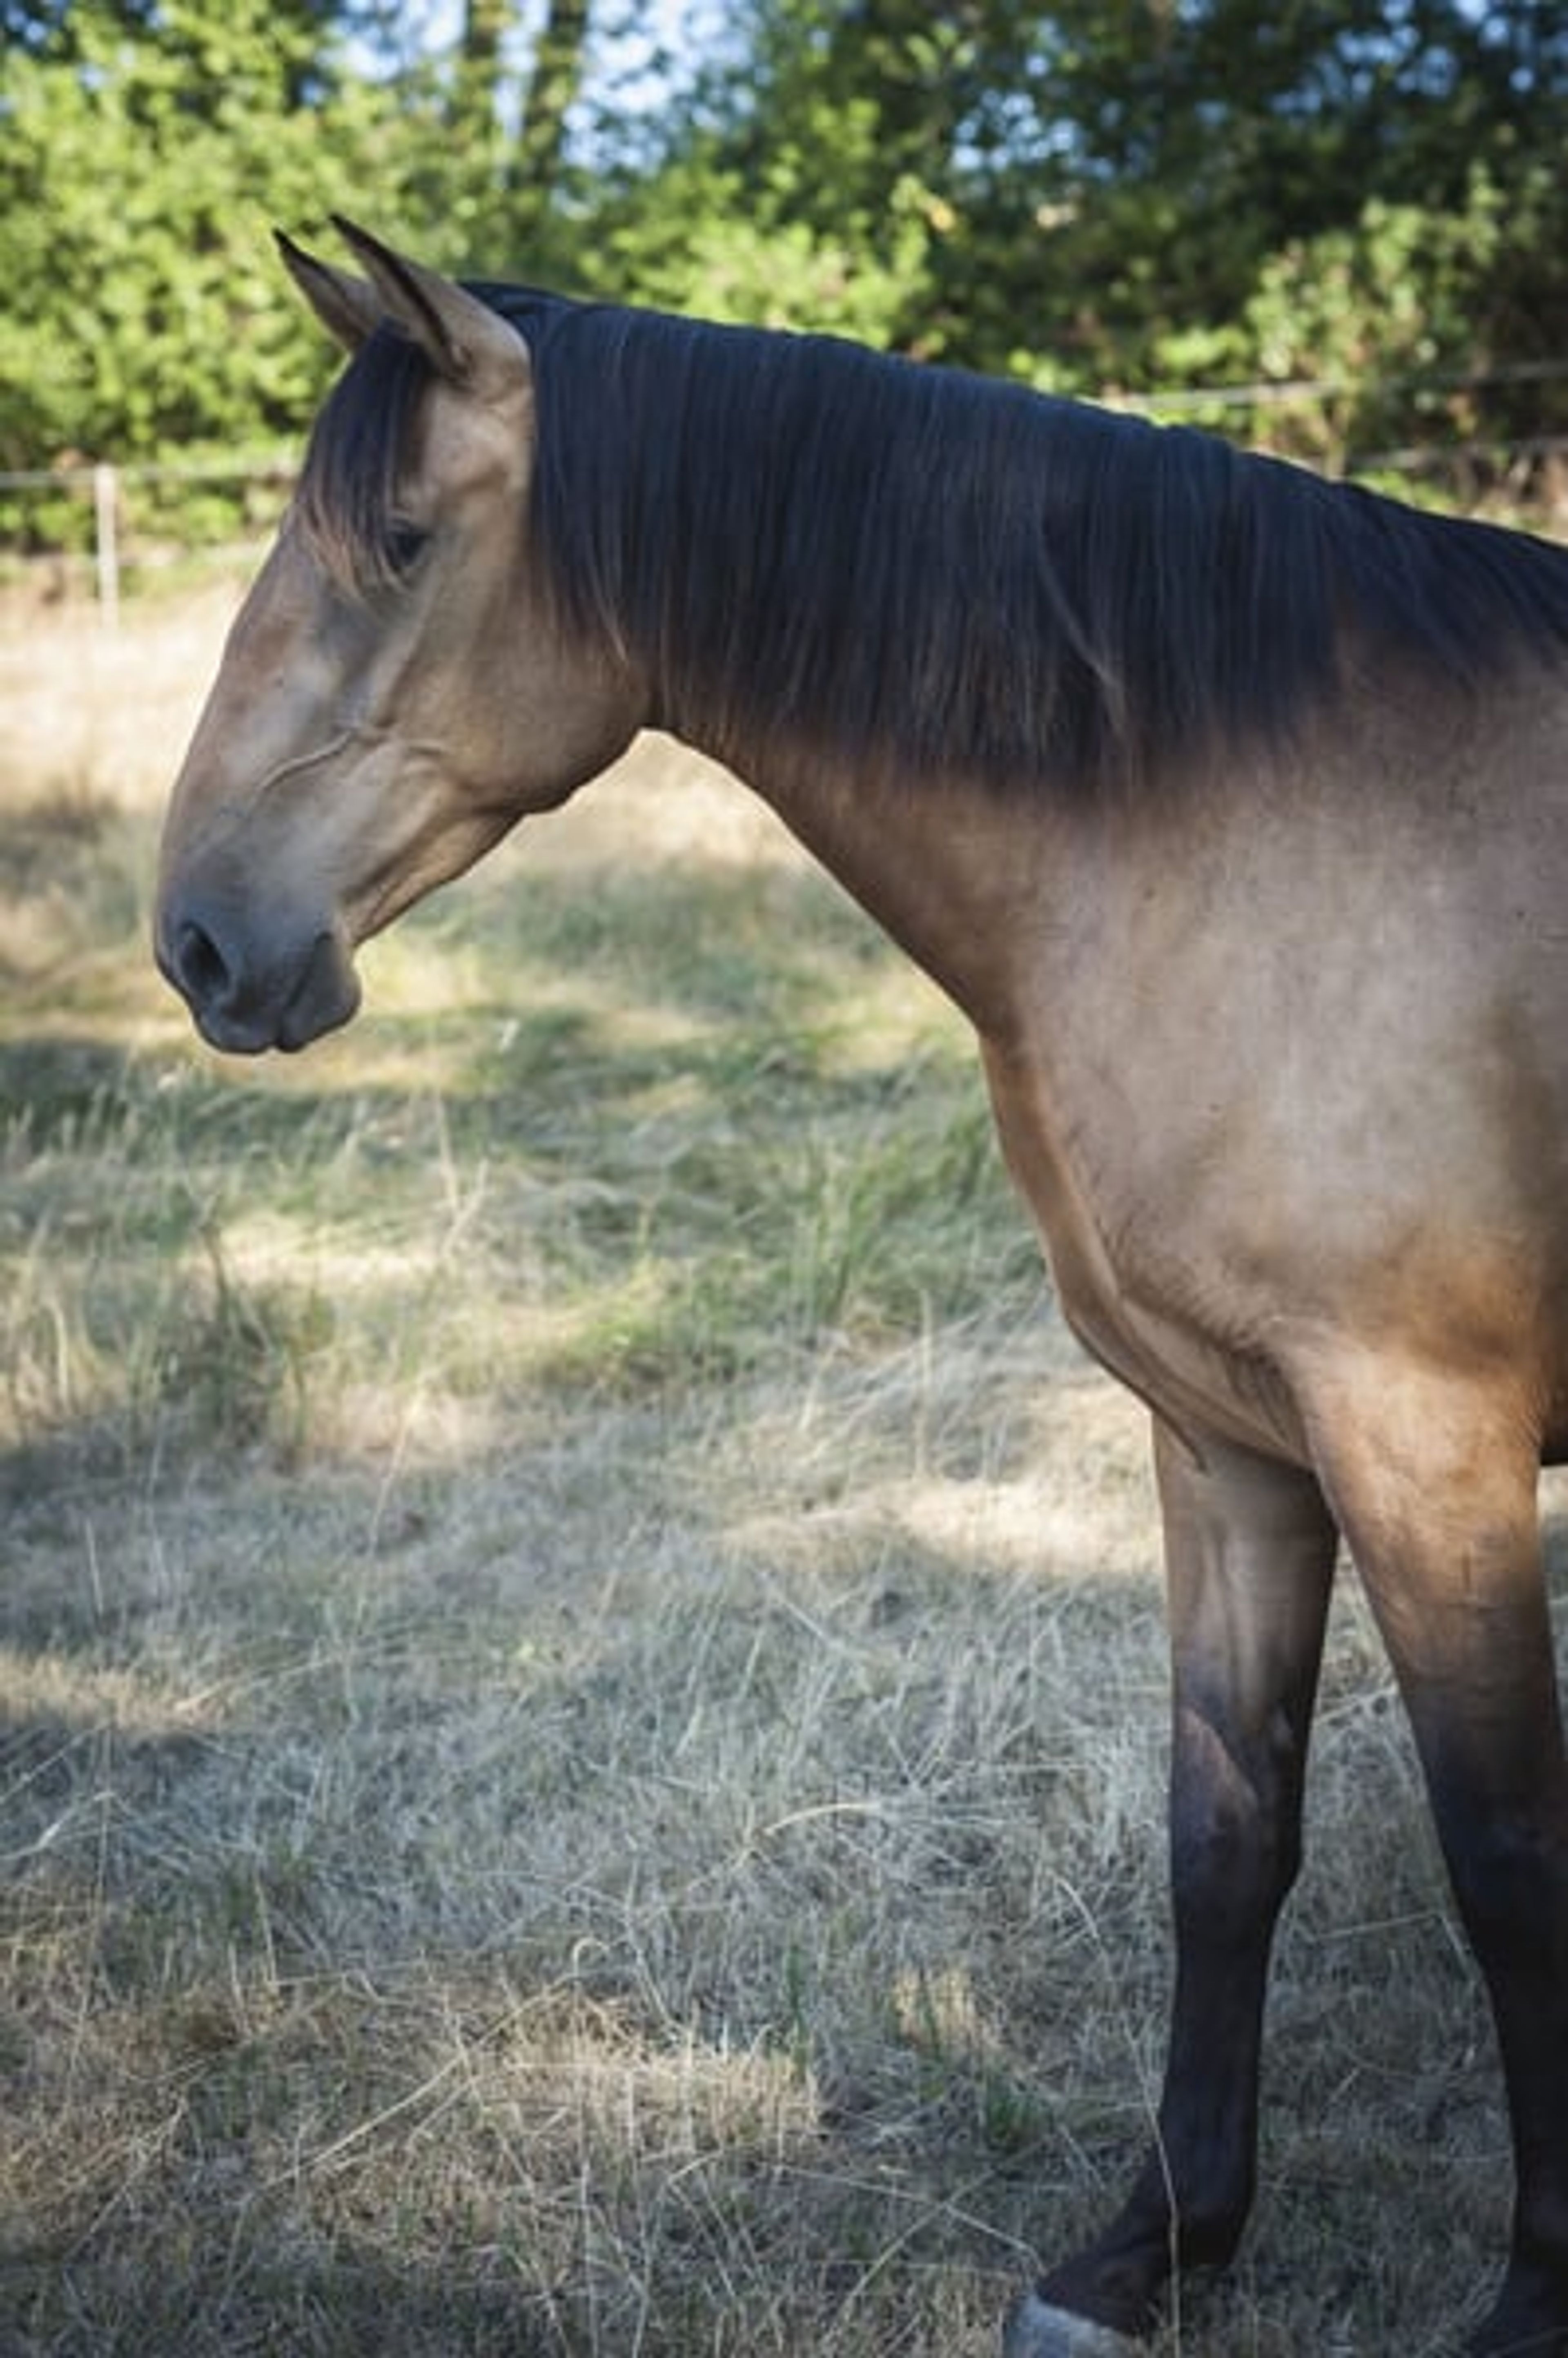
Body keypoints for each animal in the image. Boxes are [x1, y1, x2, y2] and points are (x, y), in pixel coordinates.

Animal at [155, 220, 1568, 2357]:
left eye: (396, 541)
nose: (198, 942)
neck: (1262, 833)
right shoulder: (1229, 1440)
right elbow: (1226, 1833)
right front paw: (1153, 2247)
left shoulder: (1430, 1443)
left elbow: (1503, 1861)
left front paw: (1533, 2294)